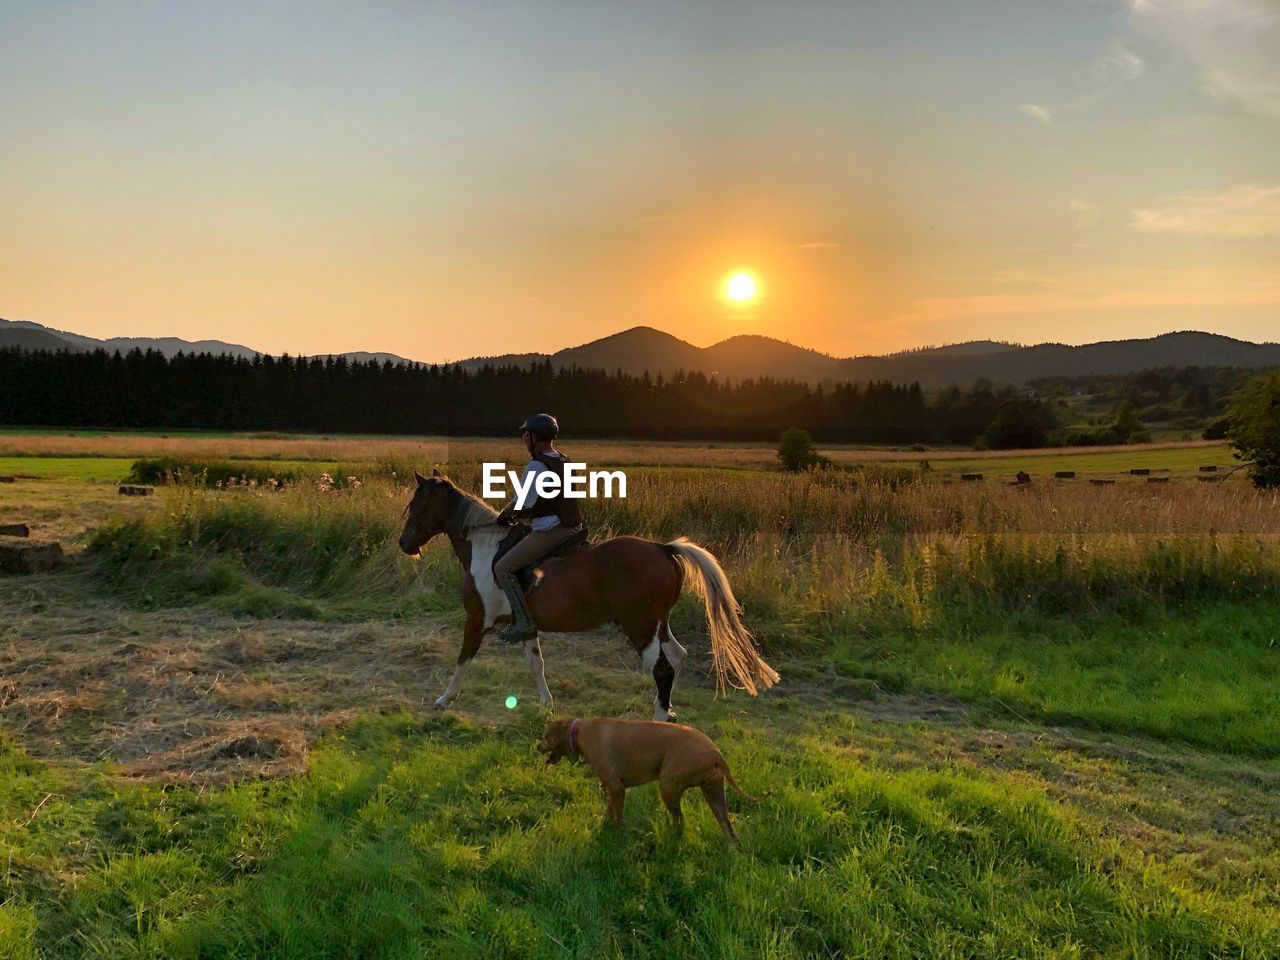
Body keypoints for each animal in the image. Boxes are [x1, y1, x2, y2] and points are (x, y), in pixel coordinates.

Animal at [399, 471, 778, 716]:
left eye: (416, 505)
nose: (404, 544)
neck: (484, 546)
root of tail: (662, 548)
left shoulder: (477, 618)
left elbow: (463, 659)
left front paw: (444, 699)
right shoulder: (526, 624)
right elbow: (536, 662)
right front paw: (546, 704)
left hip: (640, 625)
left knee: (662, 668)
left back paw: (658, 720)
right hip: (658, 624)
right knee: (677, 656)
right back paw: (665, 709)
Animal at [537, 716, 762, 839]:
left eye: (546, 736)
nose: (537, 747)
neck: (578, 731)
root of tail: (716, 752)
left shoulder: (617, 788)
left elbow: (617, 817)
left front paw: (615, 834)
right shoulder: (614, 789)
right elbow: (610, 811)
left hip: (668, 786)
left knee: (680, 820)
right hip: (713, 793)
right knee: (727, 828)